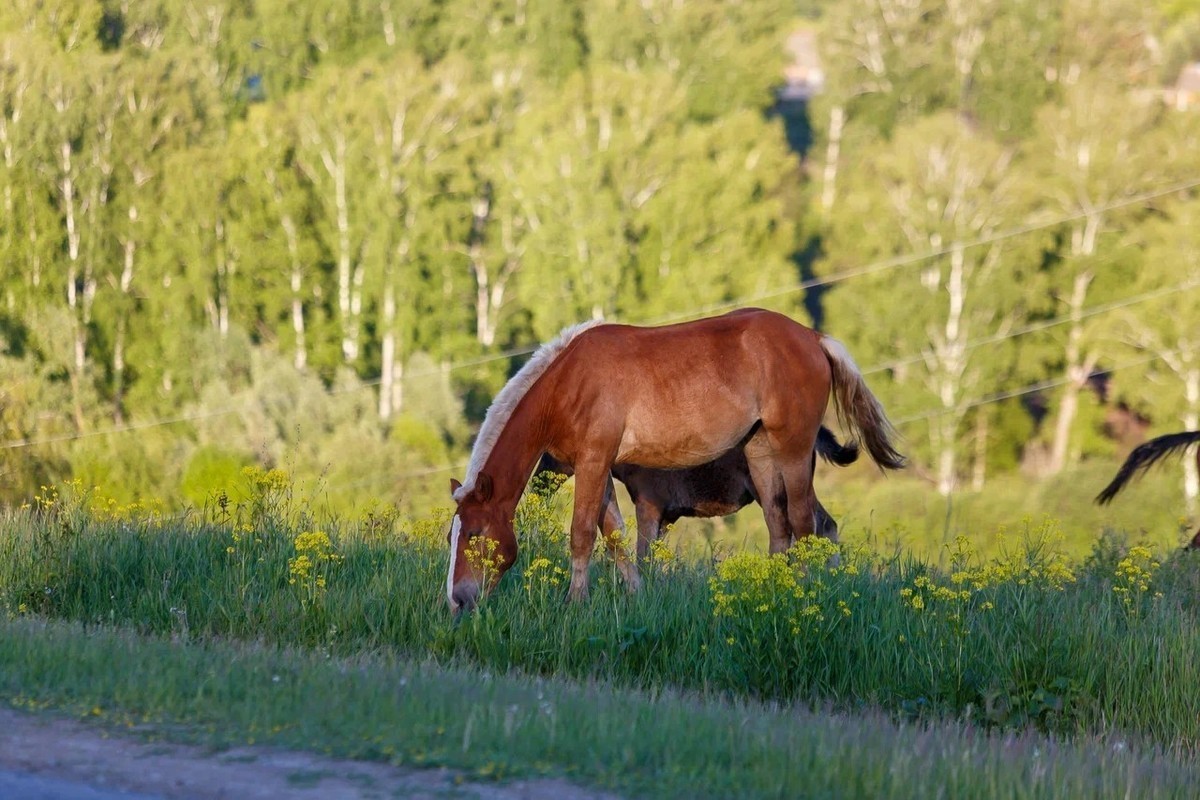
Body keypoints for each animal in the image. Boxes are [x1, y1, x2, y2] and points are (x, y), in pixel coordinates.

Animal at [537, 424, 864, 556]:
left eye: (552, 449)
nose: (539, 483)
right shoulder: (665, 516)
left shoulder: (649, 504)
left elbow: (643, 553)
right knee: (827, 524)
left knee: (812, 525)